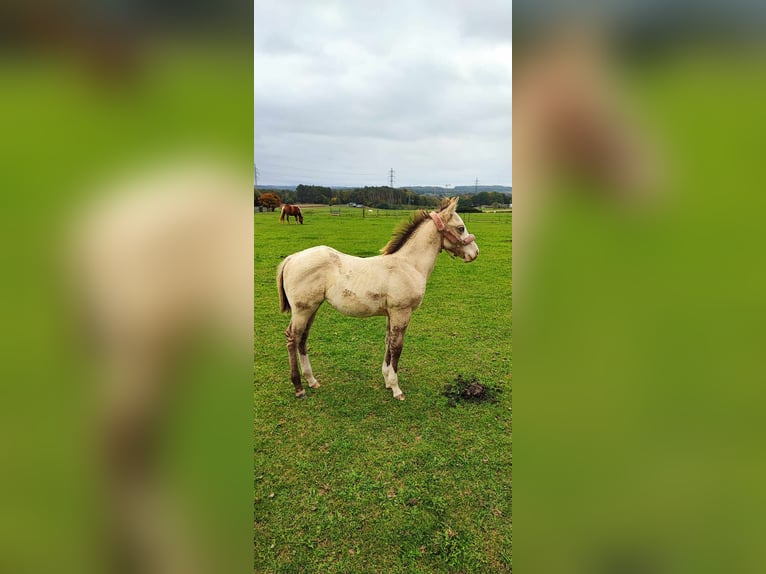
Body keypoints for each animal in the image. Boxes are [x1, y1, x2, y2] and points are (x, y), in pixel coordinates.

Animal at [276, 197, 480, 400]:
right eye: (460, 228)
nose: (475, 252)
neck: (409, 265)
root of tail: (292, 258)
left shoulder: (391, 314)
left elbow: (388, 342)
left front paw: (387, 380)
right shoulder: (401, 312)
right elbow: (397, 346)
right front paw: (396, 388)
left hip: (312, 308)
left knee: (303, 338)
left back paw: (312, 380)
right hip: (302, 309)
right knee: (292, 338)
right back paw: (299, 387)